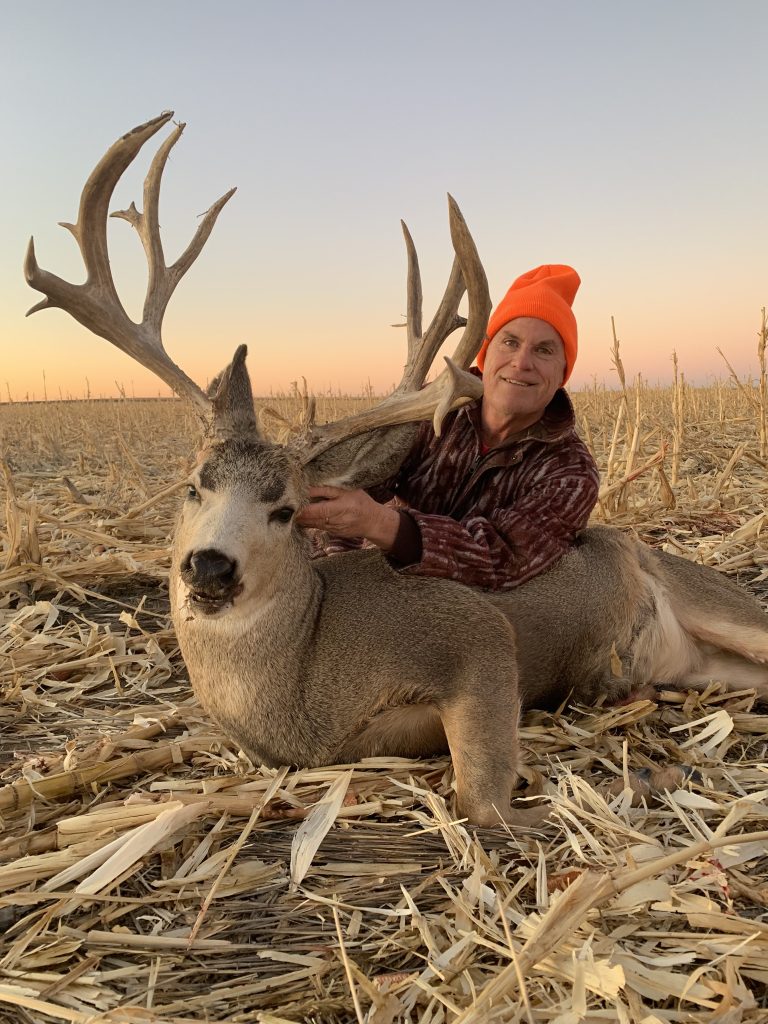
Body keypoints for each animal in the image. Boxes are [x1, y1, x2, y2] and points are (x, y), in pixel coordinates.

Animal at [25, 112, 768, 827]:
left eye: (286, 508)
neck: (302, 674)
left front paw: (595, 789)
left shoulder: (474, 632)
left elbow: (481, 802)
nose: (209, 566)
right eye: (192, 486)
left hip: (714, 598)